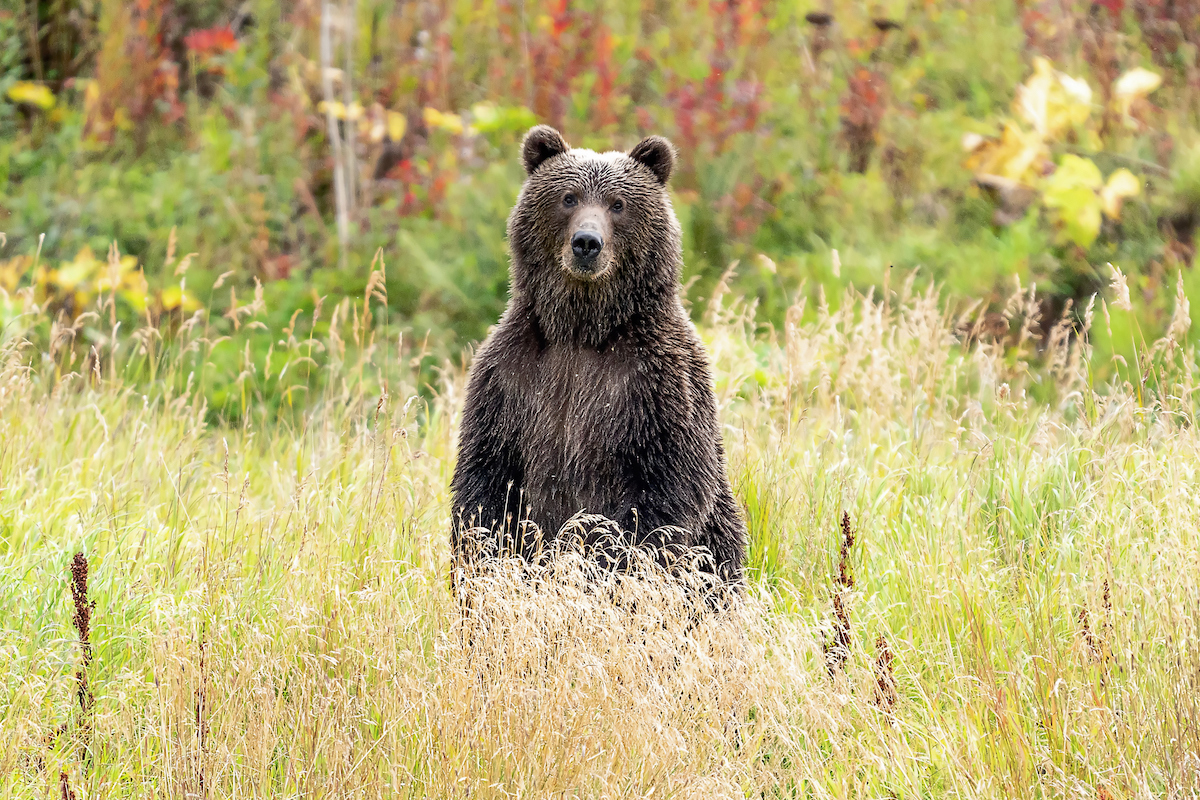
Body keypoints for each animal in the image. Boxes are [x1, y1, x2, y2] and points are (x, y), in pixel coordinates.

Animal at [451, 126, 744, 587]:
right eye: (568, 197)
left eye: (618, 203)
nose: (587, 242)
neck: (582, 329)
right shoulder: (509, 377)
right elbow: (486, 481)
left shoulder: (655, 381)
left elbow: (665, 489)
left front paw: (606, 567)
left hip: (720, 536)